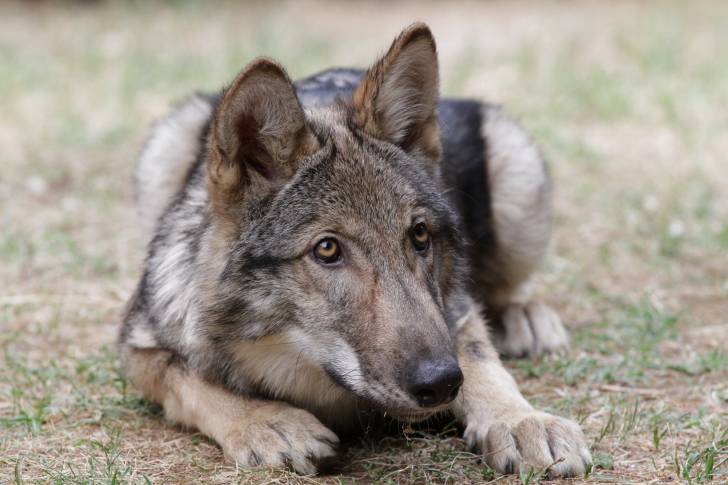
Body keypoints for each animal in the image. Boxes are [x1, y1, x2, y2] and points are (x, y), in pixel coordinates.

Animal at [120, 23, 591, 477]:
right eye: (327, 249)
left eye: (420, 235)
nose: (440, 381)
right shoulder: (138, 346)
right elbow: (189, 380)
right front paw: (268, 423)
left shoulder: (454, 311)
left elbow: (479, 360)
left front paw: (522, 421)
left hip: (518, 172)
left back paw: (525, 320)